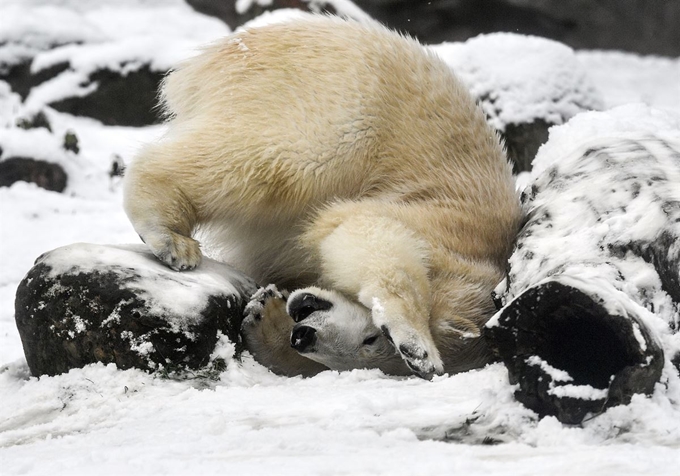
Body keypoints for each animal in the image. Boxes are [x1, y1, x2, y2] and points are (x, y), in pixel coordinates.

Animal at [125, 14, 524, 380]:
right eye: (375, 337)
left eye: (359, 359)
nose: (304, 333)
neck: (484, 256)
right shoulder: (447, 224)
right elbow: (366, 231)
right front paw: (419, 346)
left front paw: (265, 316)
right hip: (333, 104)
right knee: (277, 160)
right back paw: (172, 239)